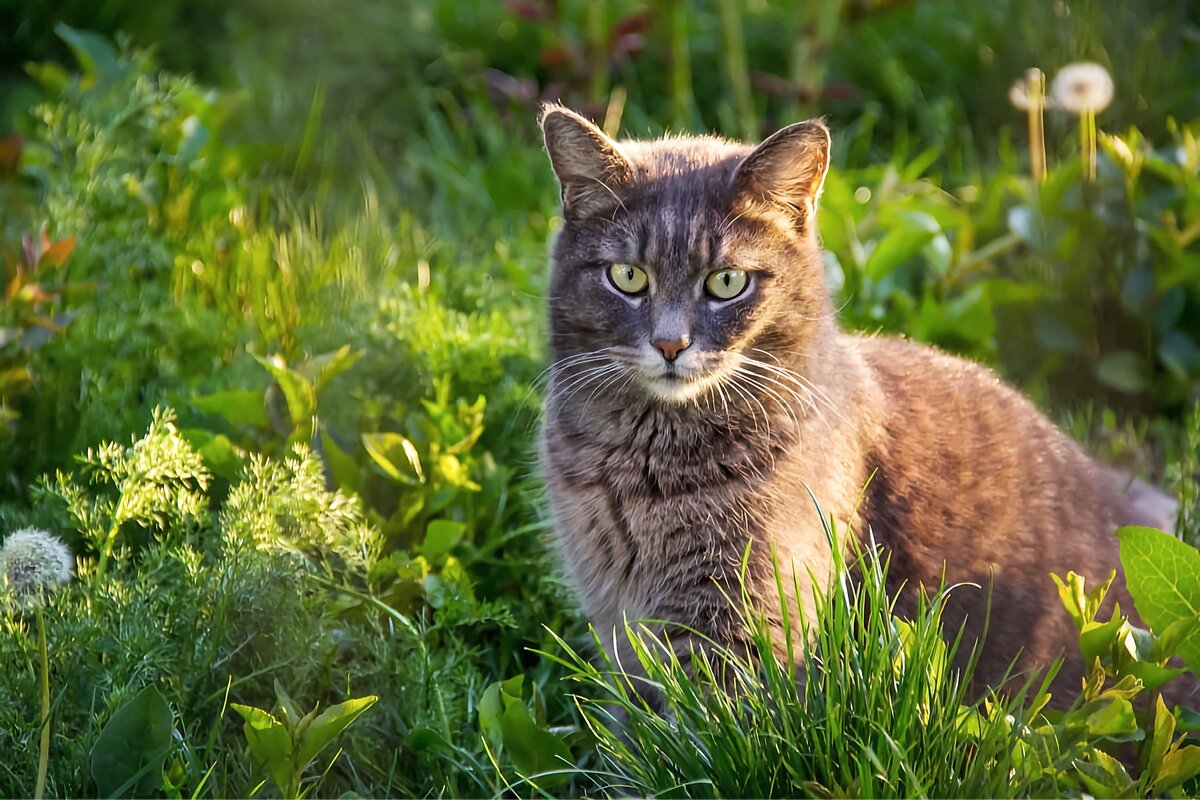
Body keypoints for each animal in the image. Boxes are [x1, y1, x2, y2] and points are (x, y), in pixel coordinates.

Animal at [540, 104, 1185, 700]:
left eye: (726, 282)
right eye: (627, 276)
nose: (670, 344)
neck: (643, 461)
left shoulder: (745, 616)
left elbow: (707, 731)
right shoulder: (618, 621)